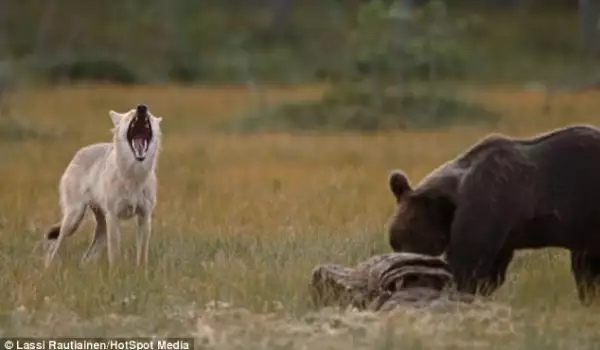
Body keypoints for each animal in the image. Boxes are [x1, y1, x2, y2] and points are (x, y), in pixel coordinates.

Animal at [44, 104, 164, 268]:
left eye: (149, 116)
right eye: (131, 114)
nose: (142, 108)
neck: (133, 176)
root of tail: (79, 153)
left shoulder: (145, 217)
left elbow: (142, 256)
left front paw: (141, 272)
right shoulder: (113, 216)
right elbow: (115, 254)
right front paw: (116, 272)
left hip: (101, 227)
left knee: (86, 256)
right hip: (75, 219)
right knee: (54, 246)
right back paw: (47, 269)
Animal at [384, 123, 600, 304]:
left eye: (410, 234)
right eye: (394, 241)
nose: (401, 266)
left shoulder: (488, 202)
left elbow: (467, 266)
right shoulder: (502, 233)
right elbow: (490, 273)